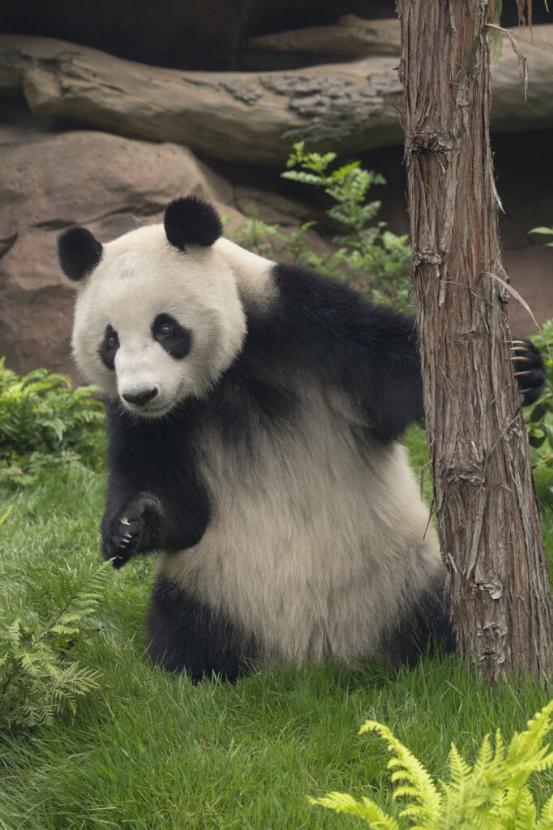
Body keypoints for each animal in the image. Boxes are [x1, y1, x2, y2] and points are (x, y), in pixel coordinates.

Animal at [57, 196, 546, 681]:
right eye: (110, 340)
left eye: (165, 328)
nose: (142, 394)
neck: (226, 374)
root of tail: (311, 660)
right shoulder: (146, 423)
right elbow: (173, 500)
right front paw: (129, 527)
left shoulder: (304, 319)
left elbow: (406, 371)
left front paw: (522, 367)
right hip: (210, 587)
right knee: (179, 628)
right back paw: (199, 667)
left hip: (406, 573)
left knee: (436, 613)